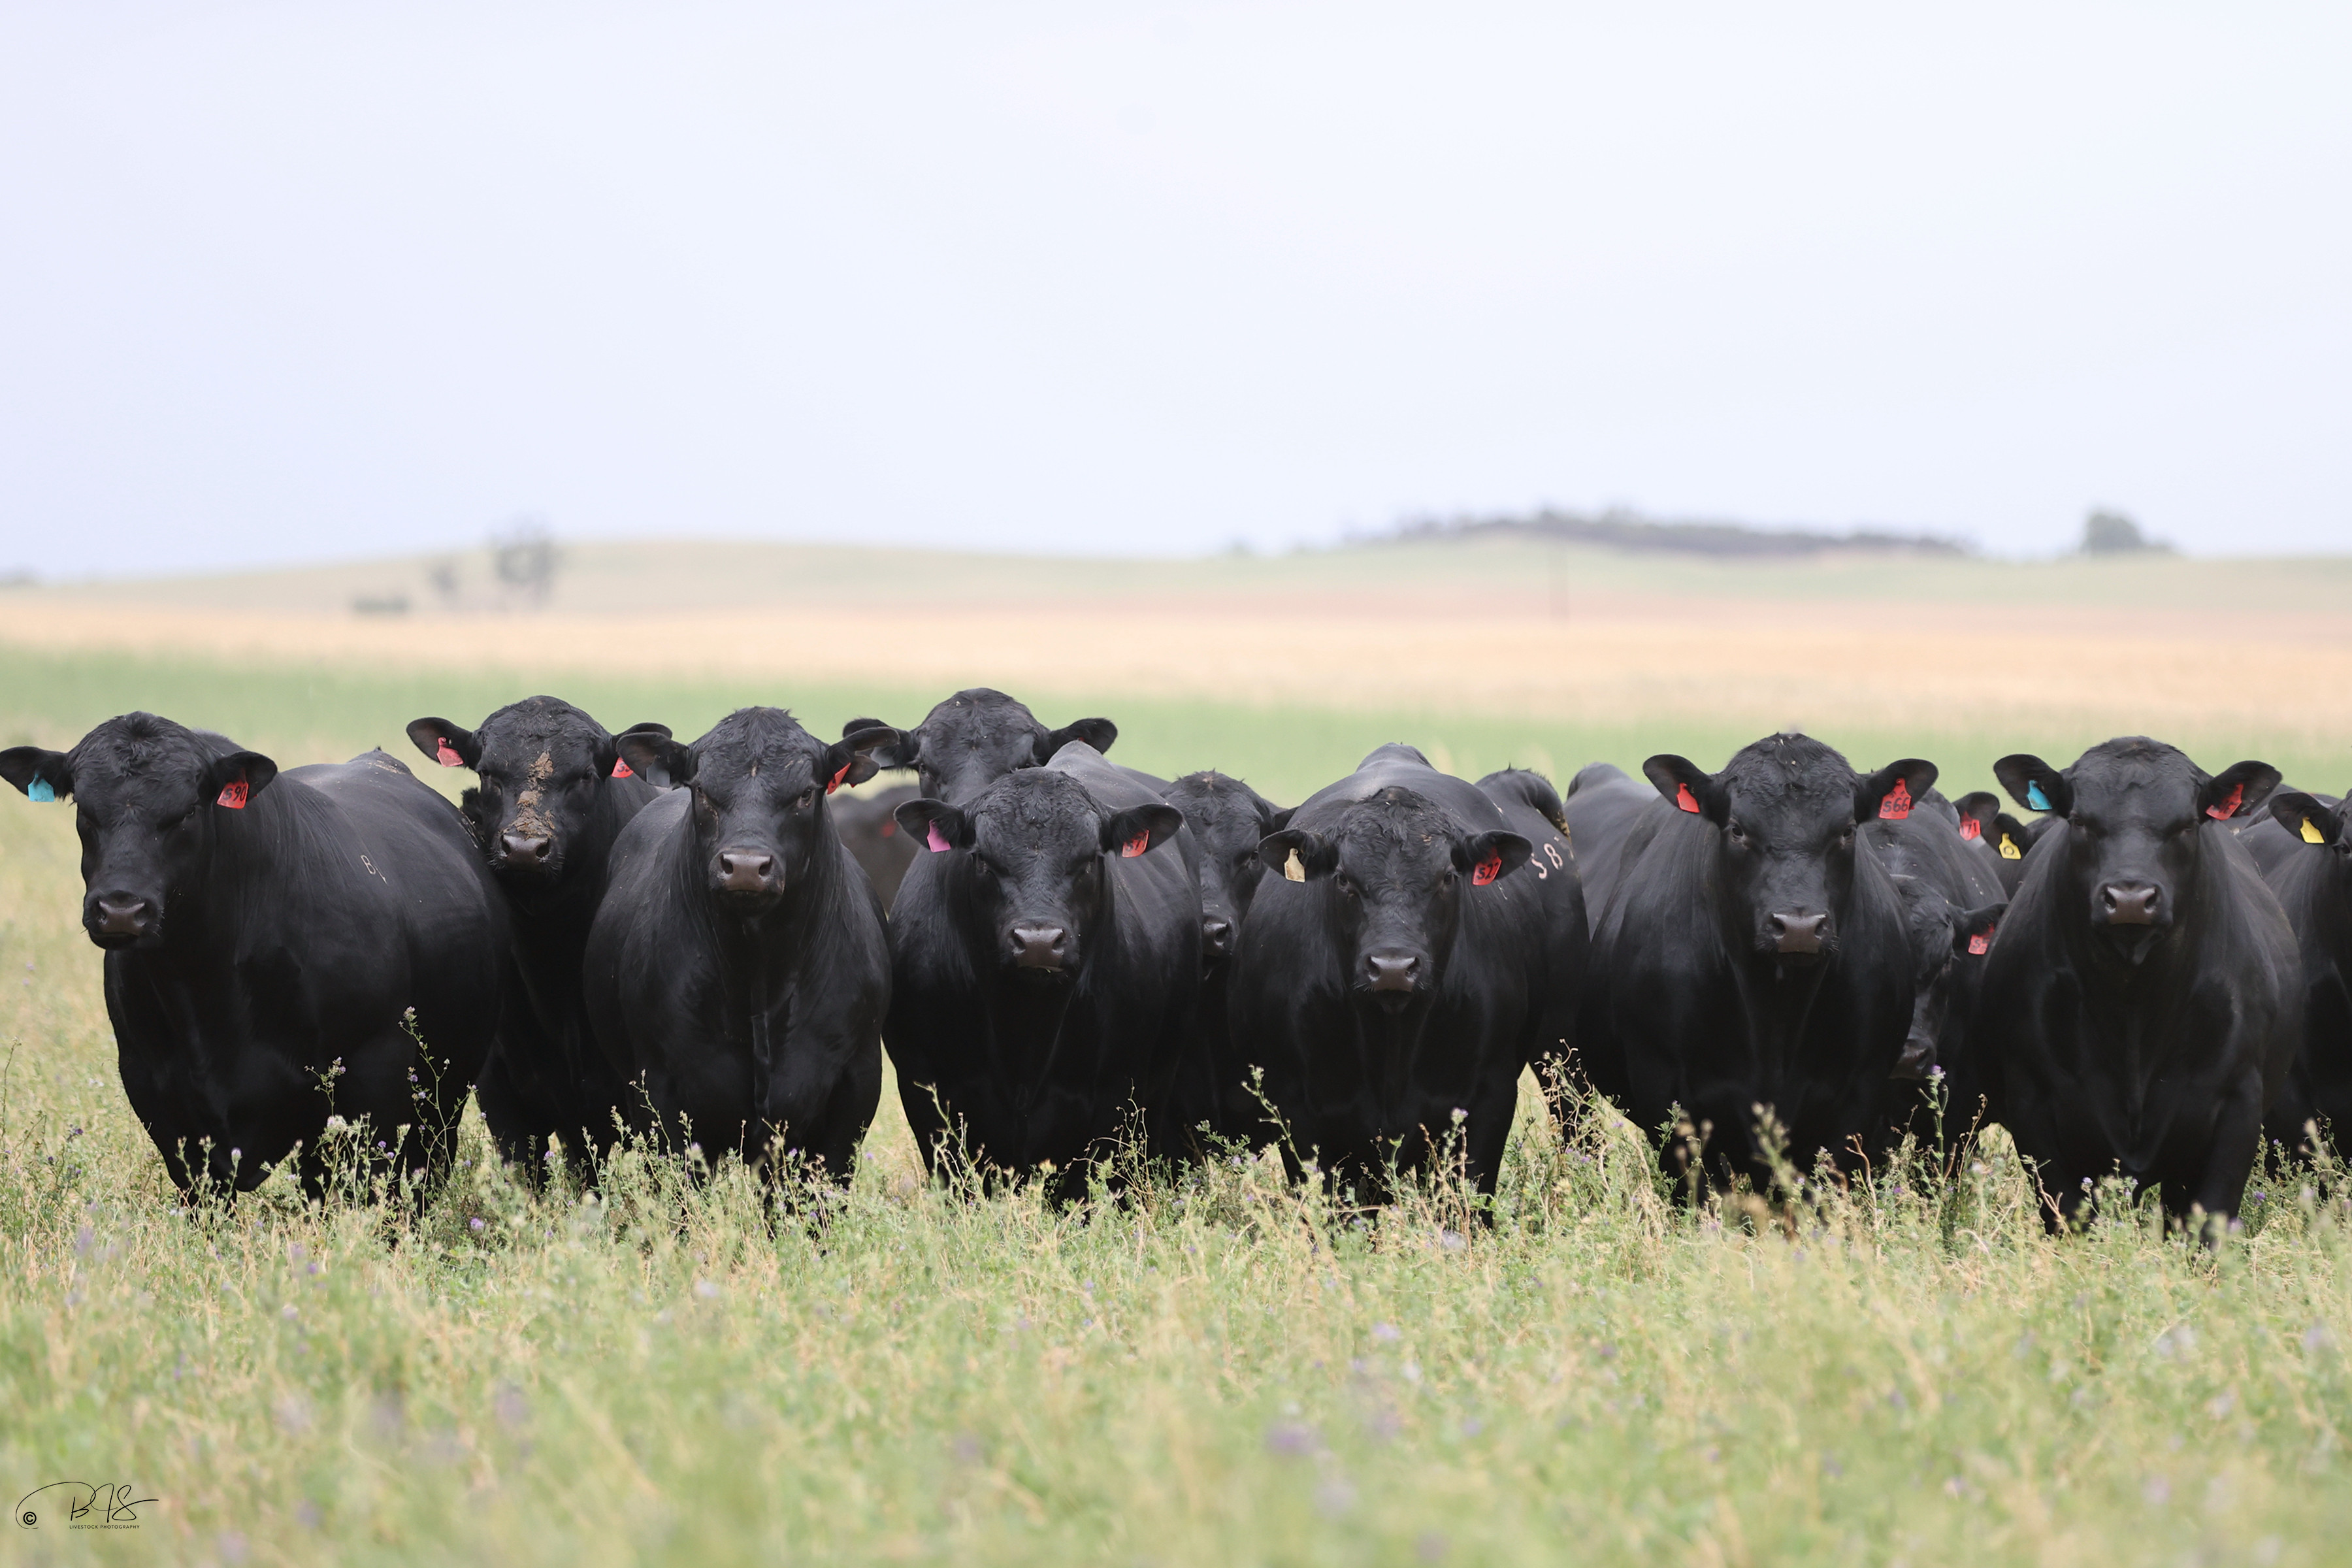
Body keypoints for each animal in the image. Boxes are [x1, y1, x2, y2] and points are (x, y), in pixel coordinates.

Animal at [0, 714, 503, 1198]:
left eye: (187, 812)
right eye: (84, 810)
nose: (121, 909)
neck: (202, 986)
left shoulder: (374, 1083)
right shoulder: (161, 1101)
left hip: (438, 1102)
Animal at [582, 710, 897, 1184]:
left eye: (806, 793)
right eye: (702, 791)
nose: (746, 867)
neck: (760, 972)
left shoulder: (856, 1083)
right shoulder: (658, 1089)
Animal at [1228, 746, 1586, 1207]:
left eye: (1448, 877)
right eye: (1343, 879)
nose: (1393, 966)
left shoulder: (1490, 1098)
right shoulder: (1295, 1106)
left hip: (1561, 1050)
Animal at [1576, 734, 1929, 1198]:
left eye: (1847, 830)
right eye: (1738, 829)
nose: (1798, 927)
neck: (1775, 1018)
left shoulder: (1858, 1097)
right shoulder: (1664, 1090)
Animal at [1978, 739, 2298, 1239]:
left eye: (2187, 824)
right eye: (2080, 821)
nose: (2130, 899)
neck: (2133, 1009)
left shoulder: (2237, 1108)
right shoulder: (2034, 1108)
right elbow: (2069, 1217)